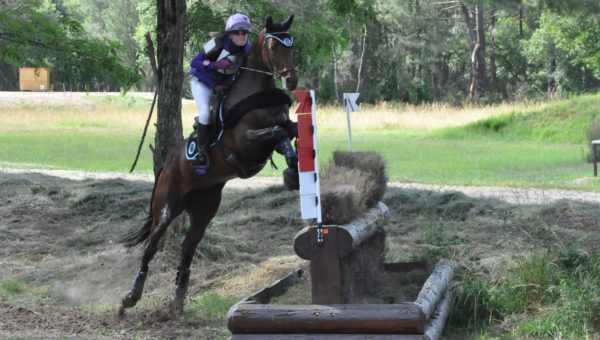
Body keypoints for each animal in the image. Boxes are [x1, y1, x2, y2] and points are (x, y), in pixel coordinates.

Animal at [118, 14, 298, 314]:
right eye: (274, 48)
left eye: (292, 45)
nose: (292, 80)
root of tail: (166, 165)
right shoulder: (244, 142)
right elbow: (277, 133)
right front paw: (291, 168)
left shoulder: (282, 126)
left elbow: (290, 132)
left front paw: (293, 172)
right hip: (166, 207)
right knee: (151, 246)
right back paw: (130, 297)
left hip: (204, 209)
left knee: (187, 248)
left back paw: (178, 300)